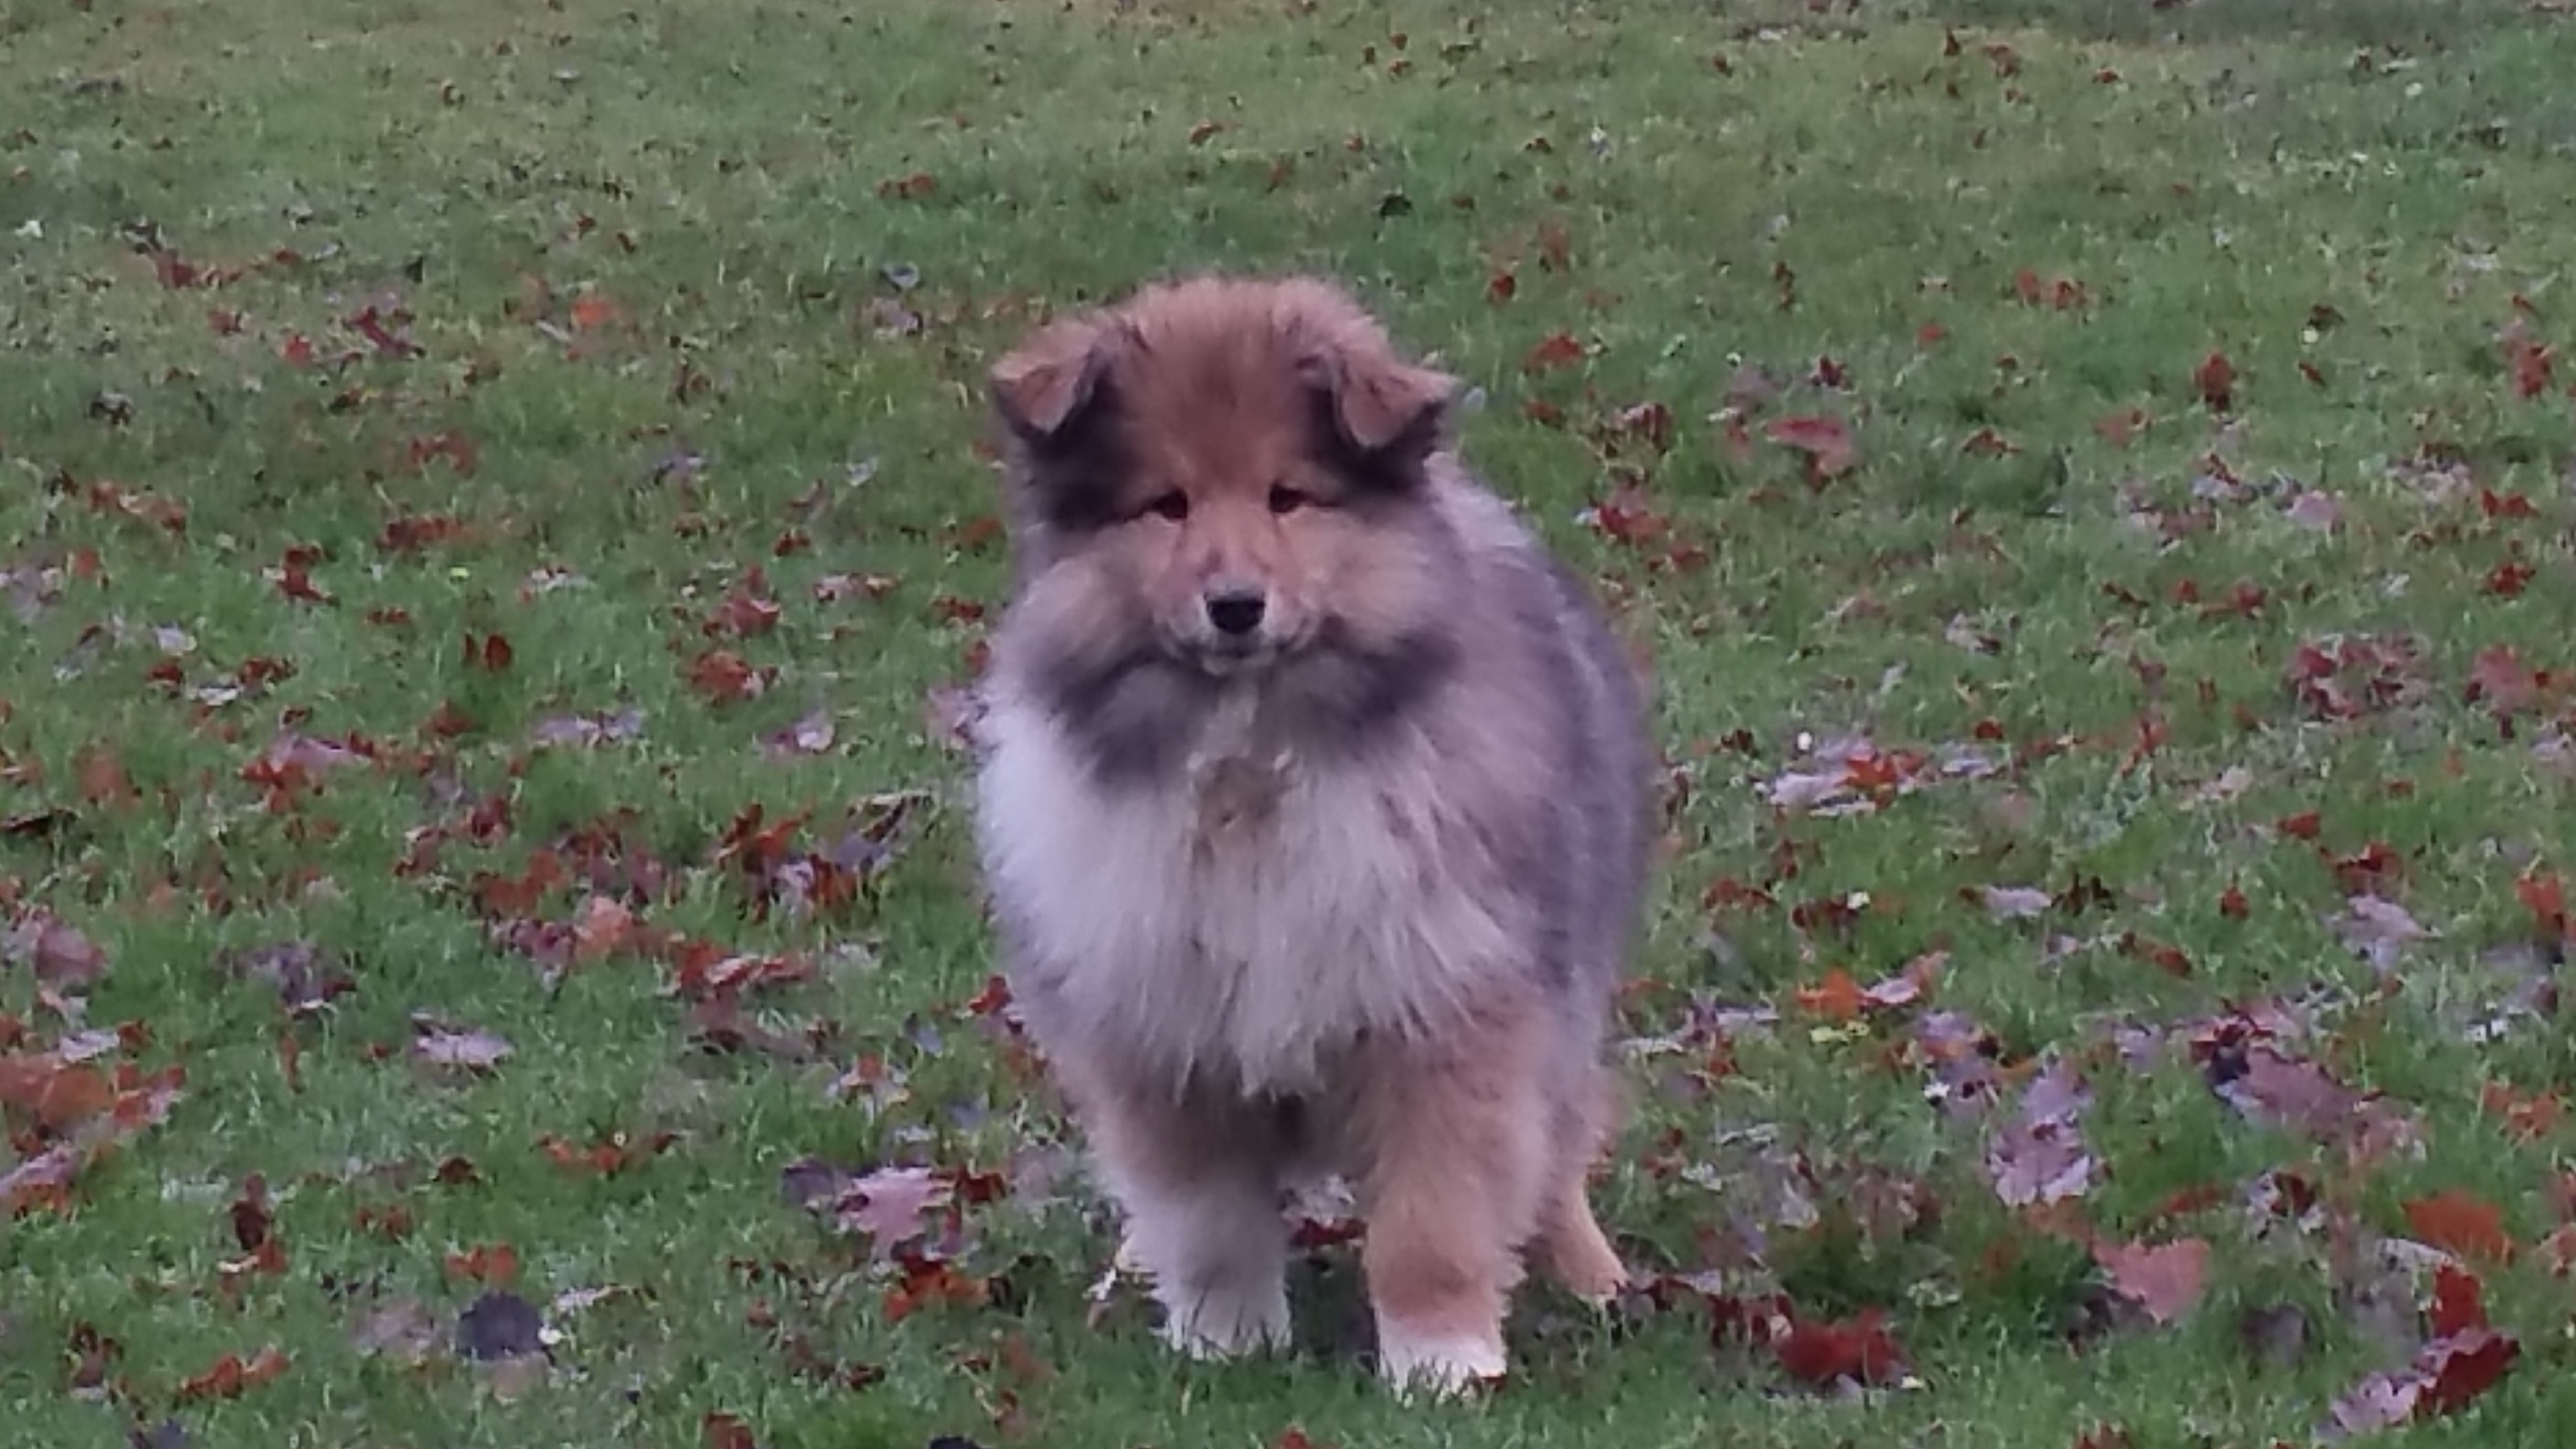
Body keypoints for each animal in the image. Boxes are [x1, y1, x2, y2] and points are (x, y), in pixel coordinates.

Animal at [968, 268, 1648, 1392]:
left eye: (1288, 496)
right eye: (1167, 504)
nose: (1235, 606)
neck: (1251, 761)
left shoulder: (1451, 1019)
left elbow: (1435, 1218)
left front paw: (1442, 1364)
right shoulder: (1167, 1042)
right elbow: (1210, 1222)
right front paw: (1225, 1346)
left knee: (1558, 1156)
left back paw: (1600, 1286)